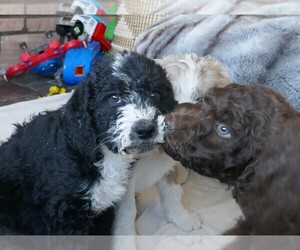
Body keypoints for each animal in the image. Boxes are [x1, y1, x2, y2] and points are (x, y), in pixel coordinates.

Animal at [0, 50, 176, 234]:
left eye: (155, 93)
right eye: (114, 97)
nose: (146, 129)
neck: (102, 154)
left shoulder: (105, 213)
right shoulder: (67, 213)